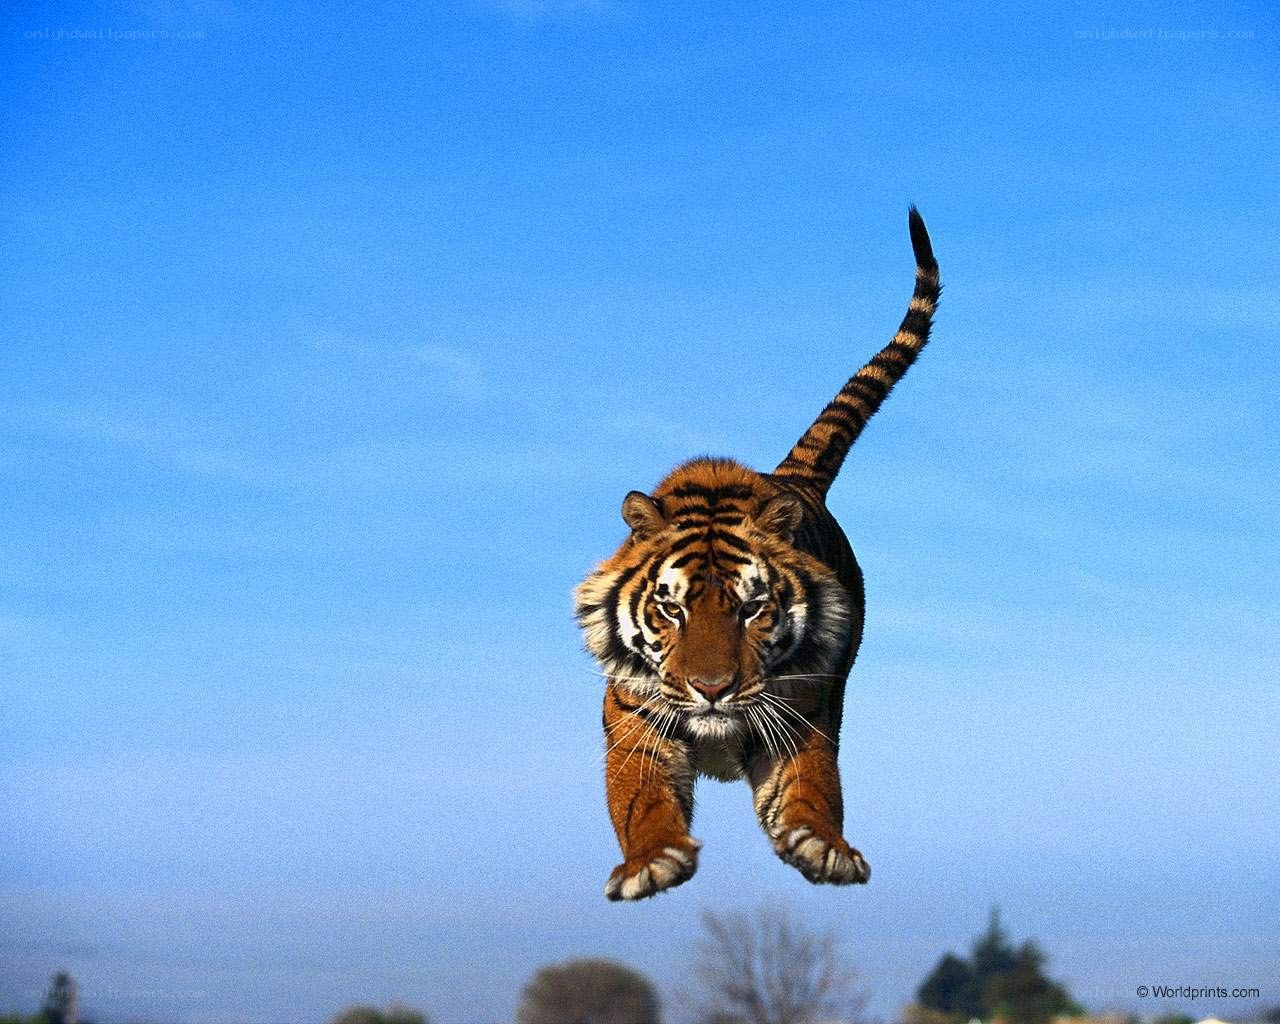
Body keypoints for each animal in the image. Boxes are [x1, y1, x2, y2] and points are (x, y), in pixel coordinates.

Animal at [575, 208, 940, 901]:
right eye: (671, 610)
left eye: (752, 609)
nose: (713, 689)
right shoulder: (635, 720)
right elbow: (641, 800)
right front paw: (652, 862)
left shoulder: (802, 712)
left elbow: (811, 790)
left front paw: (824, 848)